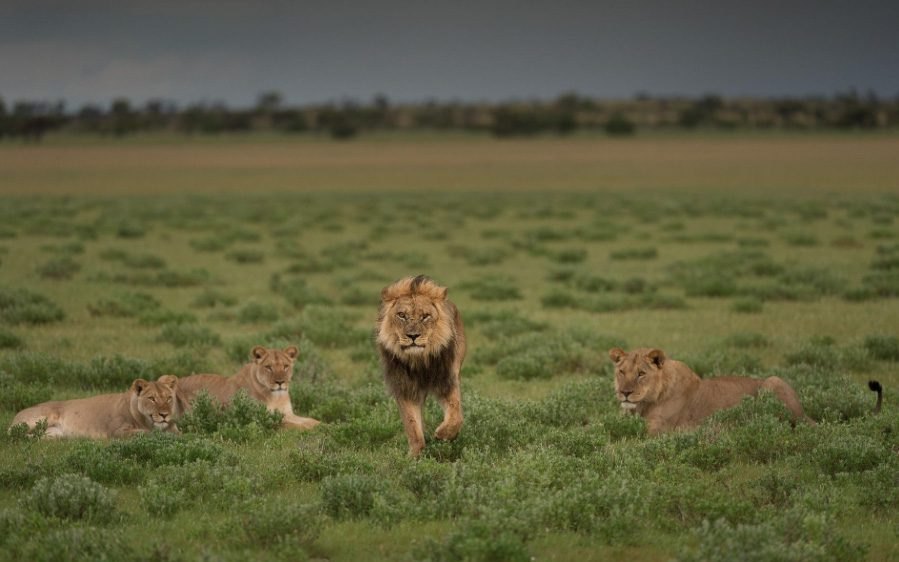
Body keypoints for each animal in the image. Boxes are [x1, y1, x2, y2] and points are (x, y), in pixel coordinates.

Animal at [9, 375, 181, 438]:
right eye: (152, 399)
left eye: (168, 398)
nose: (165, 414)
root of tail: (16, 414)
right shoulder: (117, 432)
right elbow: (147, 433)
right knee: (13, 433)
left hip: (54, 435)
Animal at [177, 345, 320, 430]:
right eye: (268, 367)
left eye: (285, 366)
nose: (280, 382)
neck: (276, 396)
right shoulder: (261, 419)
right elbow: (291, 425)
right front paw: (311, 428)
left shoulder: (288, 413)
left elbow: (310, 420)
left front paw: (321, 425)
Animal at [378, 275, 466, 457]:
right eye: (401, 315)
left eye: (425, 316)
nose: (413, 336)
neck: (419, 361)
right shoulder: (405, 388)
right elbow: (412, 425)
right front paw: (414, 456)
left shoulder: (447, 381)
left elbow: (456, 415)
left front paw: (444, 434)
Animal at [608, 347, 814, 435]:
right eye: (621, 372)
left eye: (641, 374)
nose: (625, 392)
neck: (641, 406)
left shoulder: (657, 430)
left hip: (773, 381)